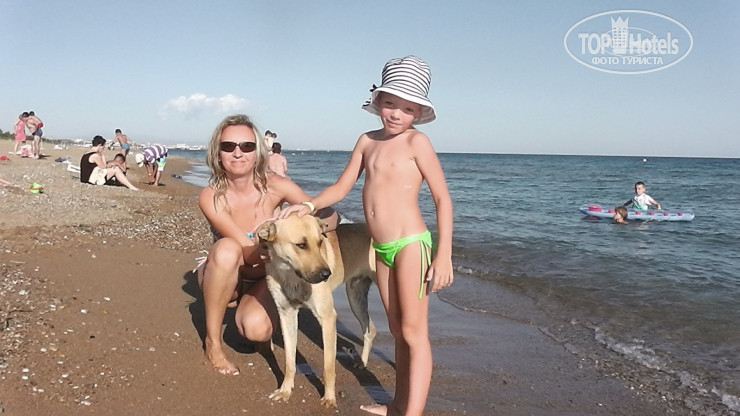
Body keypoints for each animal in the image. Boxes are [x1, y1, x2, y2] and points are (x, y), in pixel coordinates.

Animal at [256, 214, 377, 408]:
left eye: (320, 242)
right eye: (301, 245)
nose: (327, 274)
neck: (291, 275)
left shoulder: (327, 317)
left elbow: (328, 367)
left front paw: (329, 398)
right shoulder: (286, 314)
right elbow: (289, 361)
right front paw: (285, 390)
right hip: (355, 296)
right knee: (370, 329)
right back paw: (362, 362)